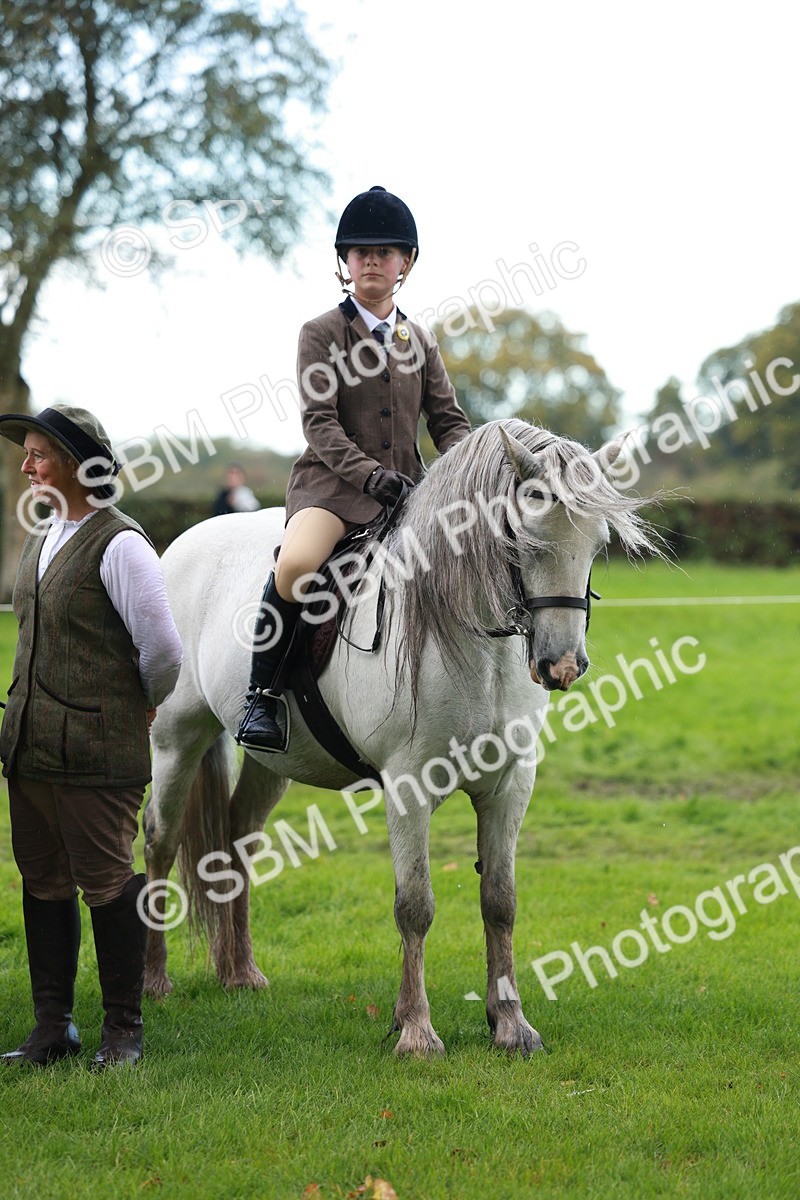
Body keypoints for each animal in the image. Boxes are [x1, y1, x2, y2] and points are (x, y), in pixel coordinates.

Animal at [142, 418, 662, 1056]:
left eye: (597, 545)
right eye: (524, 539)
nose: (561, 666)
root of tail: (184, 543)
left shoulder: (509, 787)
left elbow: (501, 902)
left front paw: (511, 1024)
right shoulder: (409, 788)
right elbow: (415, 906)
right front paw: (415, 1030)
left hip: (271, 759)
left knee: (237, 840)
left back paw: (241, 974)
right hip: (177, 738)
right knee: (161, 841)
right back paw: (154, 980)